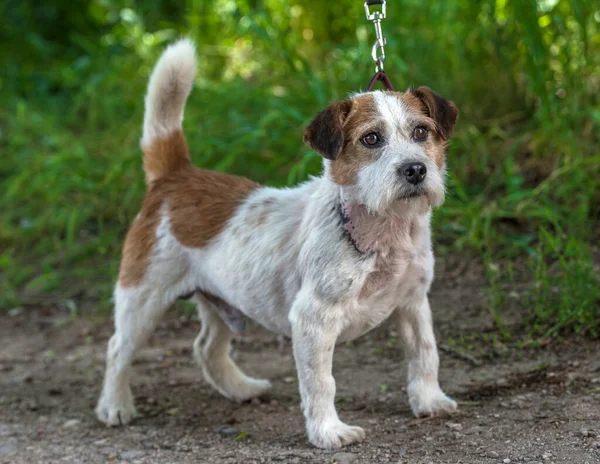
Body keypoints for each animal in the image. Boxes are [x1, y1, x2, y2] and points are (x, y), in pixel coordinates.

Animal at [95, 40, 460, 450]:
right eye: (371, 139)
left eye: (421, 132)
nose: (415, 170)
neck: (383, 229)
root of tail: (176, 175)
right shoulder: (313, 320)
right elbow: (321, 383)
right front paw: (328, 432)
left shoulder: (413, 304)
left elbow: (425, 354)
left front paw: (429, 401)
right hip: (142, 301)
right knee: (118, 349)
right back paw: (115, 406)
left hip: (221, 299)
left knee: (206, 347)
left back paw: (241, 388)